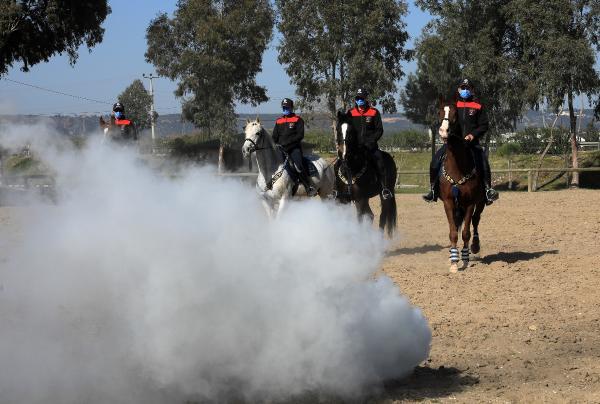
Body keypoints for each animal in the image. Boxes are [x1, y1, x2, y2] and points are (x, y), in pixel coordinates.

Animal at [438, 101, 486, 274]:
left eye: (455, 114)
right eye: (439, 112)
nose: (443, 131)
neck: (457, 168)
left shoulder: (470, 203)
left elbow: (466, 232)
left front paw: (464, 260)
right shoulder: (448, 203)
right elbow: (453, 233)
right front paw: (453, 262)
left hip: (480, 202)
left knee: (476, 220)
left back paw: (475, 246)